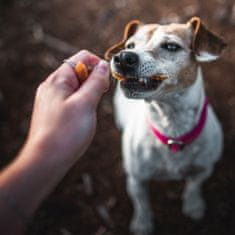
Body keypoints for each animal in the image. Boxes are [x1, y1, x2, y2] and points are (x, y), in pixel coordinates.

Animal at [104, 17, 226, 235]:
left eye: (171, 46)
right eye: (129, 46)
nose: (122, 57)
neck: (171, 126)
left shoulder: (204, 169)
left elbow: (194, 186)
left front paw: (194, 205)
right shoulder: (136, 179)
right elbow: (142, 203)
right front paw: (143, 223)